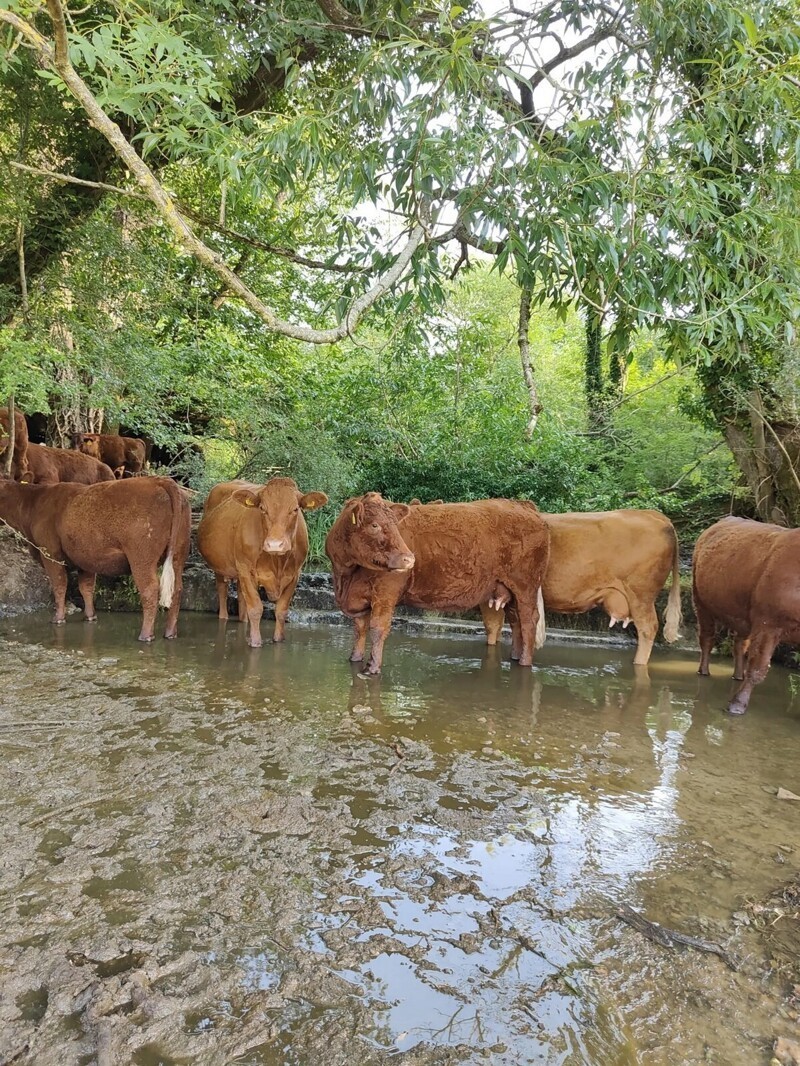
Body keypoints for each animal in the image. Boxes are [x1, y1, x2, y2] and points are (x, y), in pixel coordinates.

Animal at [0, 477, 190, 639]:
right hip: (178, 553)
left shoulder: (50, 553)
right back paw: (170, 633)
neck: (33, 504)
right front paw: (90, 616)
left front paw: (58, 618)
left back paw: (145, 635)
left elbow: (59, 585)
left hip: (141, 556)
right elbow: (86, 587)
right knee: (177, 588)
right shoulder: (86, 559)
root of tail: (160, 480)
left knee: (150, 590)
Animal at [197, 479, 328, 643]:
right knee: (222, 594)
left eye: (295, 509)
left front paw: (278, 639)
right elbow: (255, 609)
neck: (277, 562)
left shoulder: (295, 574)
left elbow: (281, 610)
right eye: (262, 508)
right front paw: (255, 642)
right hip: (222, 568)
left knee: (242, 600)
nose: (274, 544)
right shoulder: (246, 570)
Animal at [326, 492, 550, 673]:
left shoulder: (385, 593)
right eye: (374, 525)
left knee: (529, 622)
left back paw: (524, 663)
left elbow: (378, 628)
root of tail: (522, 505)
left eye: (396, 526)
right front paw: (355, 659)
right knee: (516, 622)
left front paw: (372, 668)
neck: (346, 577)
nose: (409, 559)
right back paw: (515, 657)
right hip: (510, 591)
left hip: (525, 587)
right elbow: (359, 628)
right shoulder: (359, 599)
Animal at [482, 507, 682, 665]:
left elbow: (492, 626)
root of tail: (656, 516)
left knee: (648, 628)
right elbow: (504, 626)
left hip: (640, 596)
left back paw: (638, 663)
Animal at [691, 511, 797, 712]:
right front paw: (737, 704)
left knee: (739, 644)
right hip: (701, 603)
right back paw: (704, 671)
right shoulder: (768, 625)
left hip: (742, 618)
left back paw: (738, 675)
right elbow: (757, 668)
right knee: (707, 639)